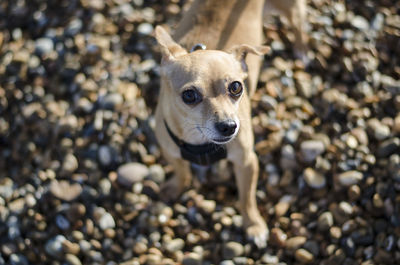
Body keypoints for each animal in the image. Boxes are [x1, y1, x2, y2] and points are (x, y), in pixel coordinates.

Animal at [155, 0, 270, 248]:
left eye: (236, 87)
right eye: (189, 95)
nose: (229, 126)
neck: (201, 144)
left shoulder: (247, 162)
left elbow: (246, 198)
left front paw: (254, 226)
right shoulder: (169, 151)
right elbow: (181, 171)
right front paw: (174, 187)